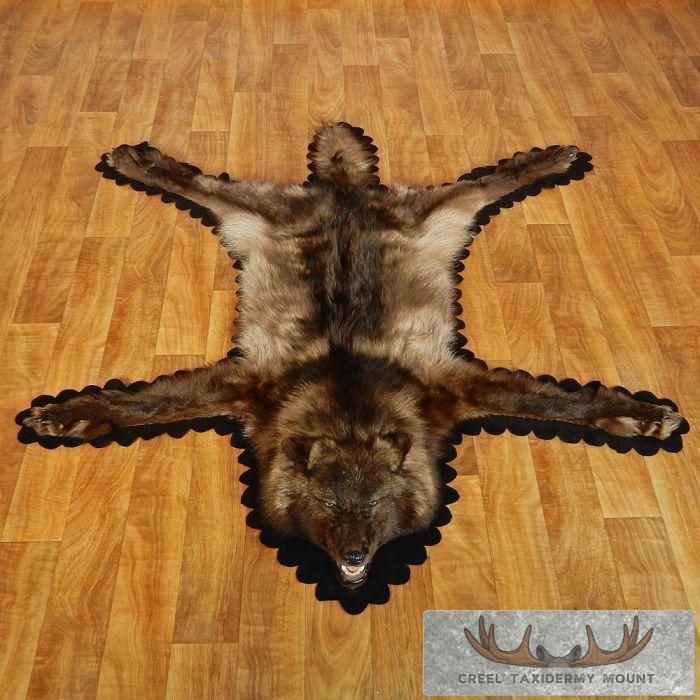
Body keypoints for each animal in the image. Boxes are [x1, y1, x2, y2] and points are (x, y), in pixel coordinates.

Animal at [23, 123, 683, 587]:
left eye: (375, 503)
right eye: (329, 502)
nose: (355, 554)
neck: (347, 403)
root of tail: (344, 192)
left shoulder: (453, 388)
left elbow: (558, 406)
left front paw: (639, 415)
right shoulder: (246, 386)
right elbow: (144, 406)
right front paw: (66, 415)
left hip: (435, 215)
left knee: (480, 184)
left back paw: (547, 160)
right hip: (253, 212)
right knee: (201, 184)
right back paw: (140, 162)